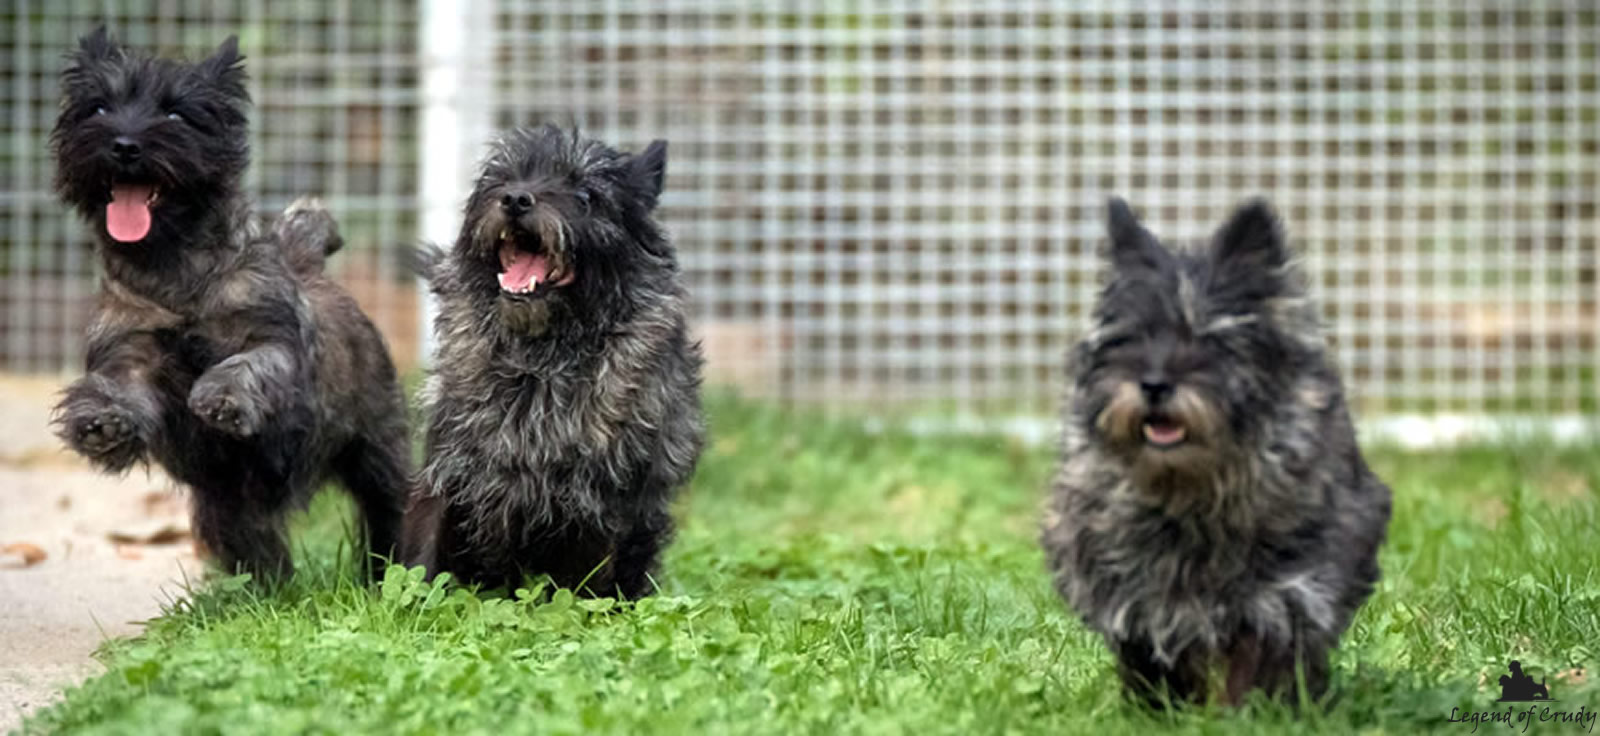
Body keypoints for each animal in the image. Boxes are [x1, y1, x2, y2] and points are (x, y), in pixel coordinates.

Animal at [50, 27, 412, 579]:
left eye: (176, 115)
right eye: (99, 108)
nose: (124, 144)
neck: (174, 271)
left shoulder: (273, 340)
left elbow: (250, 362)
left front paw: (222, 396)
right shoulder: (131, 347)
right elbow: (118, 384)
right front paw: (101, 420)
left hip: (377, 448)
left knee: (389, 507)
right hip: (228, 504)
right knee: (255, 544)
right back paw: (267, 590)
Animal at [400, 124, 700, 598]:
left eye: (585, 195)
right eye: (500, 179)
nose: (515, 199)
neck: (539, 360)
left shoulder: (600, 498)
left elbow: (586, 584)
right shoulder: (448, 468)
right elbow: (422, 558)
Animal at [1043, 200, 1395, 707]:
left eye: (1211, 339)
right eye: (1130, 338)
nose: (1154, 384)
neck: (1188, 487)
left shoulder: (1285, 593)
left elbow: (1259, 658)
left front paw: (1252, 711)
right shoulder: (1126, 584)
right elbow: (1152, 642)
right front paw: (1160, 711)